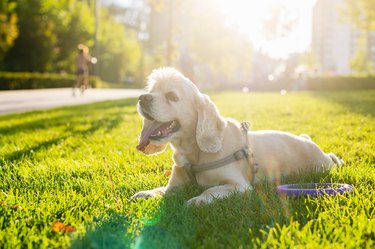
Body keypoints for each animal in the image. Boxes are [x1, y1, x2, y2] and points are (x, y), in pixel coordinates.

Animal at [132, 67, 344, 204]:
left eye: (172, 96)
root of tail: (308, 141)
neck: (195, 152)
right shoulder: (174, 187)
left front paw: (197, 200)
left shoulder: (239, 186)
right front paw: (145, 193)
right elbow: (161, 190)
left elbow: (211, 189)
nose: (142, 98)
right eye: (151, 91)